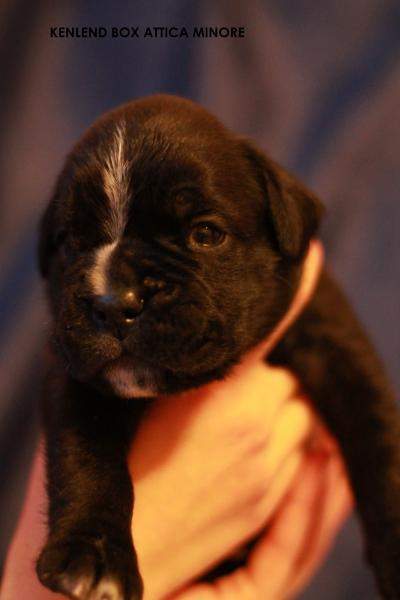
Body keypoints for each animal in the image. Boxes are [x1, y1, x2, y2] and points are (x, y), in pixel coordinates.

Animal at [36, 95, 400, 599]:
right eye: (72, 242)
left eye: (205, 234)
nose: (113, 302)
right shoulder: (75, 377)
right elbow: (86, 457)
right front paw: (94, 554)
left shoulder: (339, 349)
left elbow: (381, 444)